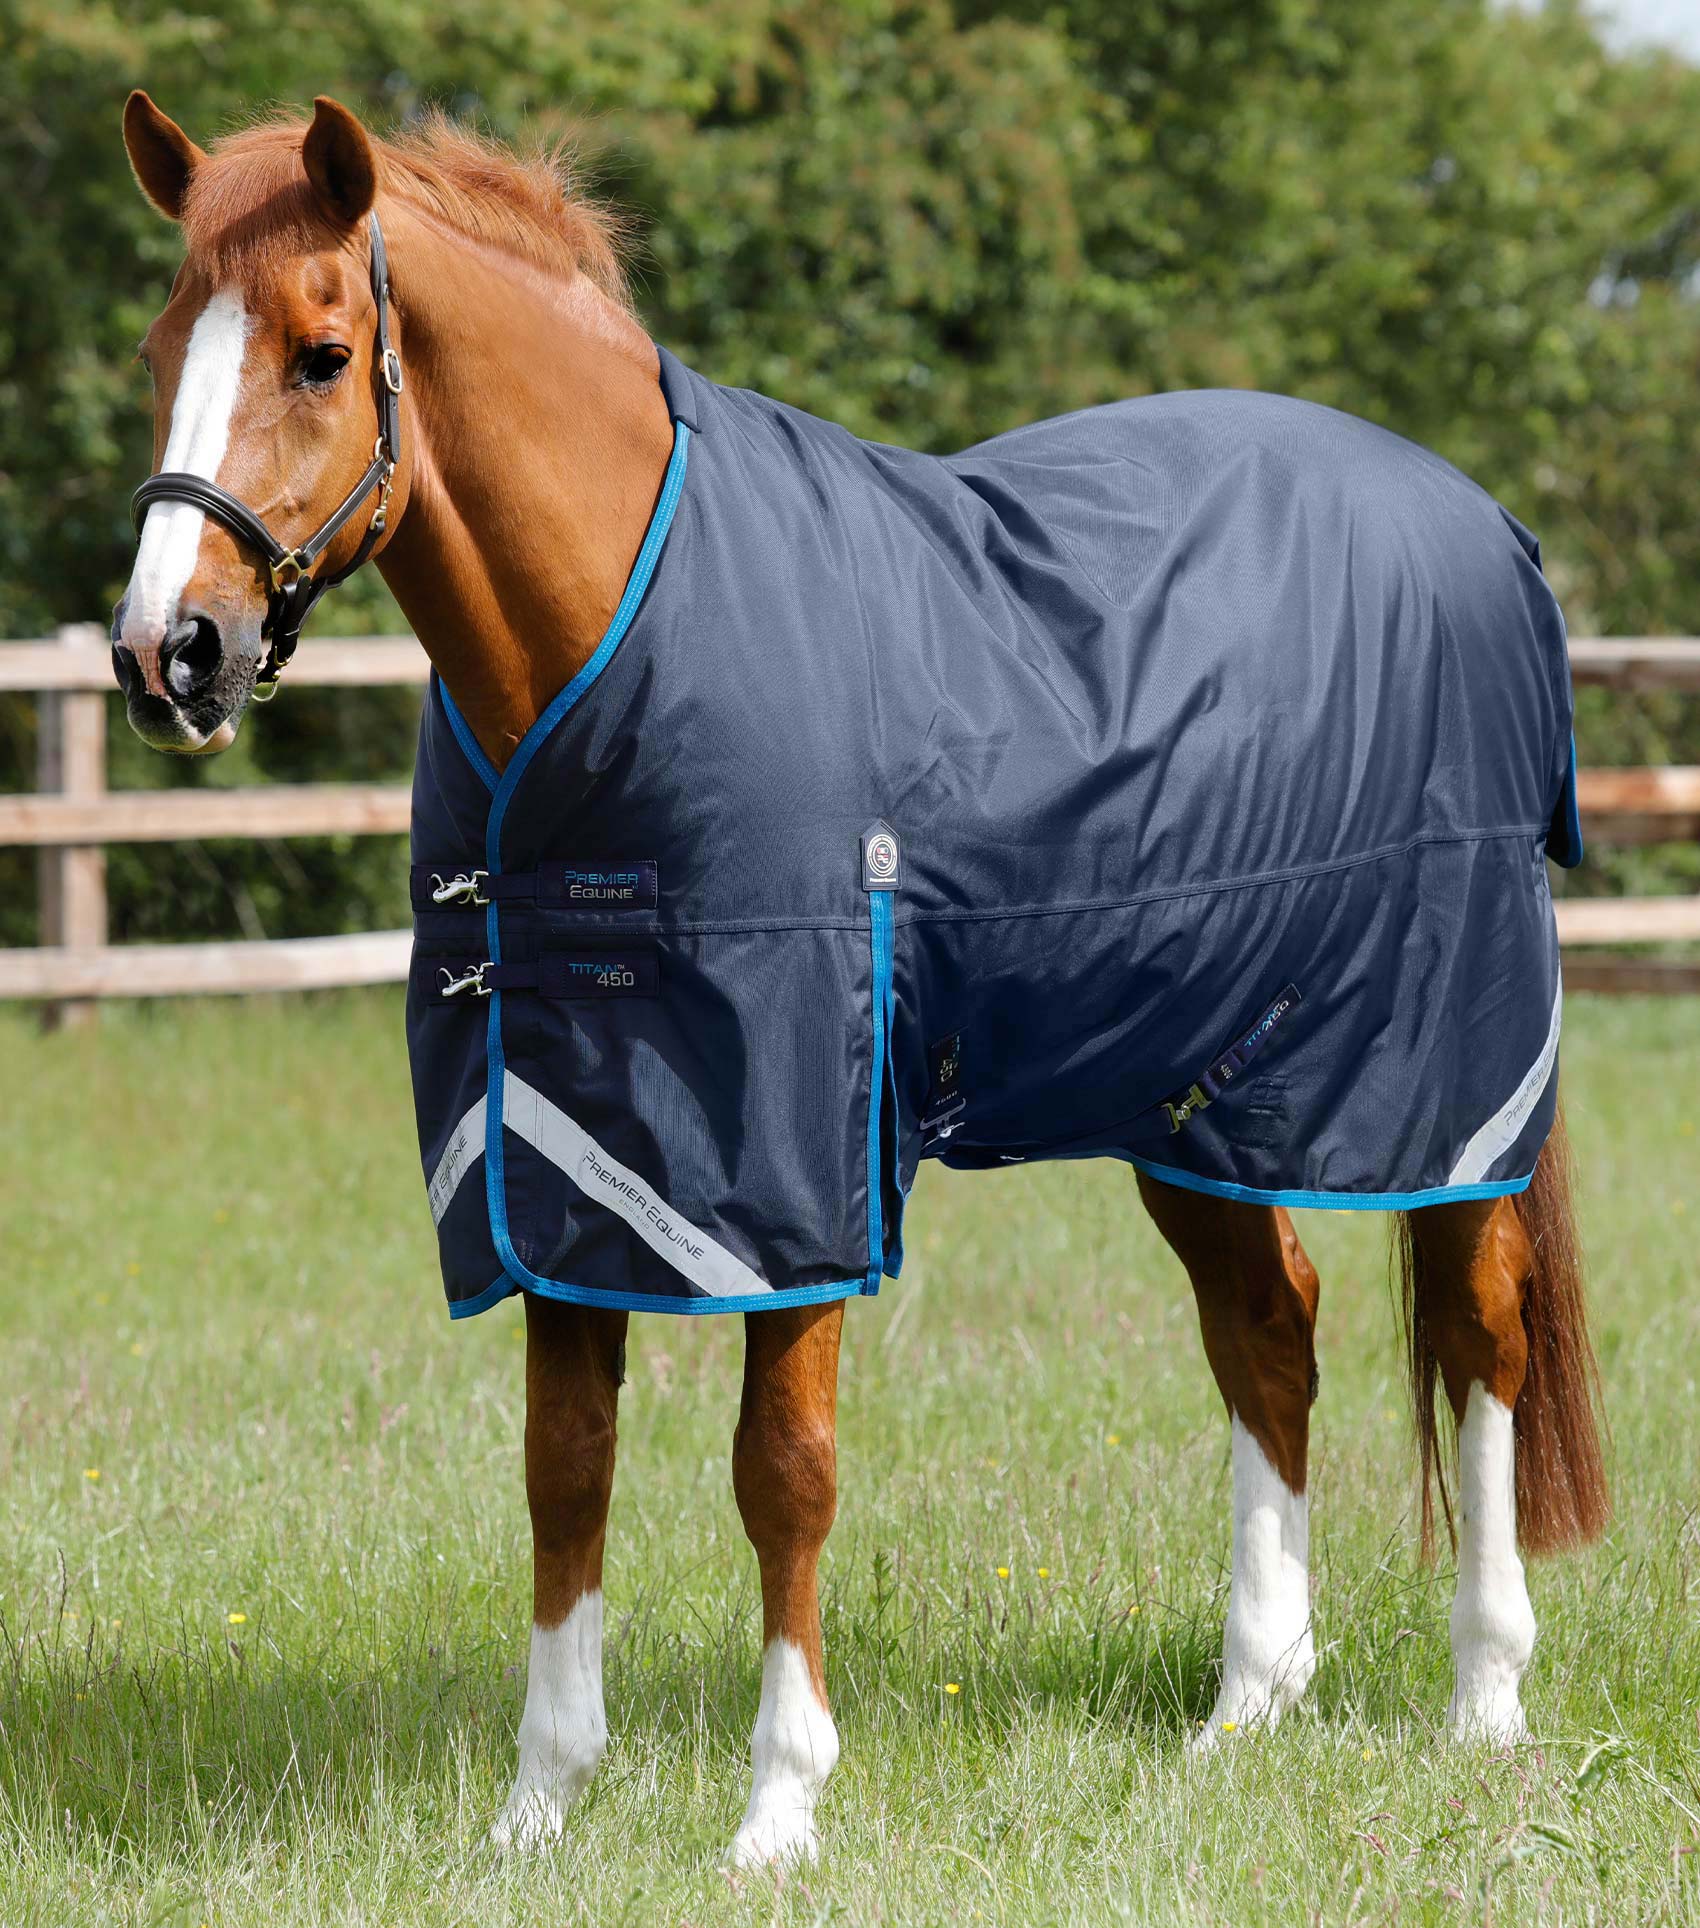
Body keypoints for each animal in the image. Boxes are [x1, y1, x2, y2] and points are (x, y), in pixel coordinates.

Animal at [113, 93, 1609, 1866]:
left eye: (325, 353)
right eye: (161, 349)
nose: (166, 653)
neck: (619, 631)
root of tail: (1488, 526)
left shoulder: (792, 1170)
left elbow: (784, 1470)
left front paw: (778, 1810)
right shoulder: (567, 1157)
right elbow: (566, 1467)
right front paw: (539, 1808)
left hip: (1442, 1076)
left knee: (1484, 1330)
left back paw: (1486, 1700)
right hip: (1195, 1090)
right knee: (1269, 1332)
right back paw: (1248, 1707)